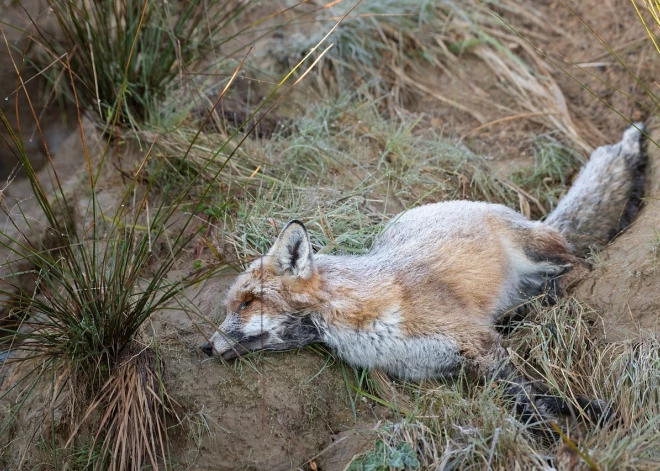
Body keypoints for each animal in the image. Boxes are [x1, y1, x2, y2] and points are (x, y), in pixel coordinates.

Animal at [201, 124, 644, 432]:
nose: (204, 348)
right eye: (231, 306)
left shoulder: (477, 343)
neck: (365, 324)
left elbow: (527, 397)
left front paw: (568, 426)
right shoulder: (448, 368)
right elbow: (530, 395)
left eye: (247, 303)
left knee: (580, 264)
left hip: (537, 250)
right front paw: (570, 417)